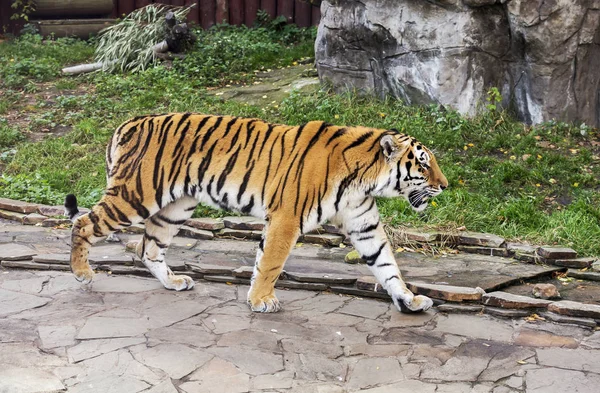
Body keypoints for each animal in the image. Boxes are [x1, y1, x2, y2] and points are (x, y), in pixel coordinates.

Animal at [68, 112, 448, 312]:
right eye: (423, 164)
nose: (445, 185)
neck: (366, 180)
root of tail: (127, 122)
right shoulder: (287, 217)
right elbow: (271, 262)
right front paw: (261, 300)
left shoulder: (364, 224)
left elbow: (387, 265)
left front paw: (409, 299)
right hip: (135, 196)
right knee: (84, 224)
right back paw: (82, 273)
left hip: (175, 207)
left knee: (148, 247)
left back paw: (173, 282)